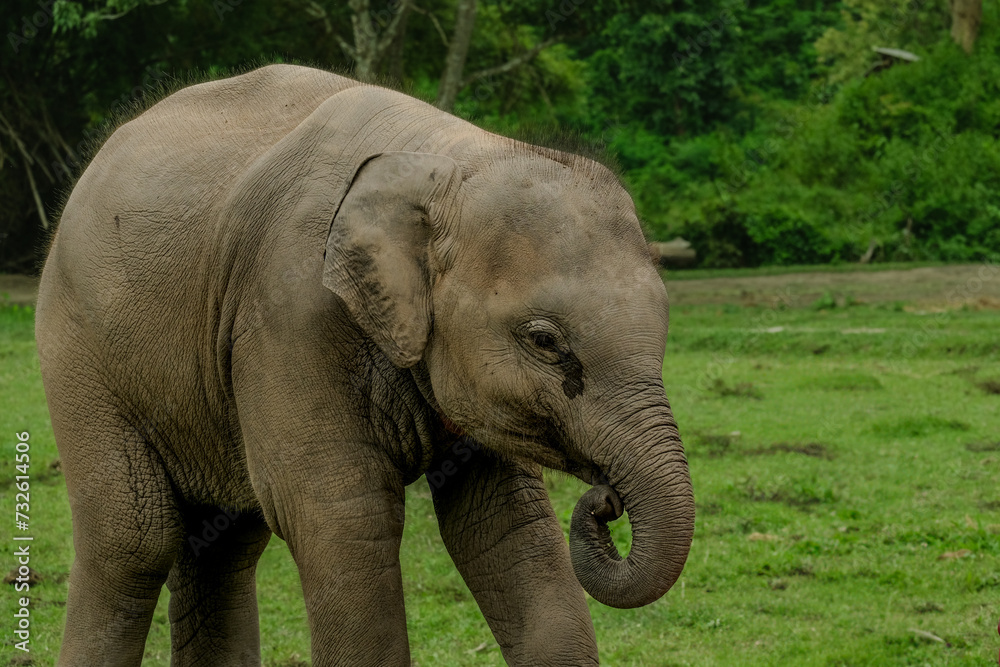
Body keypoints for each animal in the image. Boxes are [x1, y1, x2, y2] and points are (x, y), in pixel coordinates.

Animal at [35, 64, 694, 666]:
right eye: (545, 341)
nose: (605, 499)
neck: (440, 160)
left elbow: (506, 523)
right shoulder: (286, 314)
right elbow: (344, 518)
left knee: (225, 544)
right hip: (78, 355)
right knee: (133, 540)